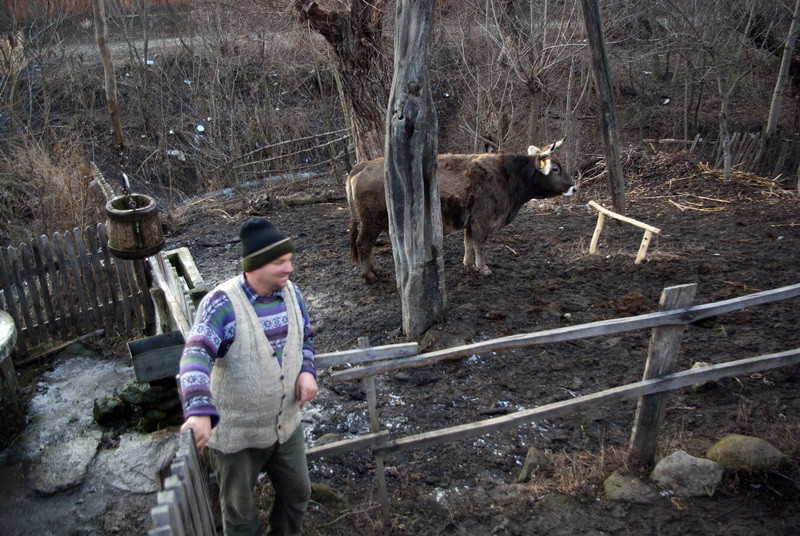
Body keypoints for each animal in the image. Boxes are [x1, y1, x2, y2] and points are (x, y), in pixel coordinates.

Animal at [344, 140, 576, 282]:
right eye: (555, 168)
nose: (574, 187)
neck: (508, 176)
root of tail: (361, 166)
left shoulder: (470, 222)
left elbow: (468, 244)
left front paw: (468, 265)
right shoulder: (483, 221)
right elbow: (479, 245)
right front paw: (483, 268)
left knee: (367, 247)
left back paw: (375, 269)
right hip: (371, 222)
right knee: (363, 245)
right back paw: (369, 275)